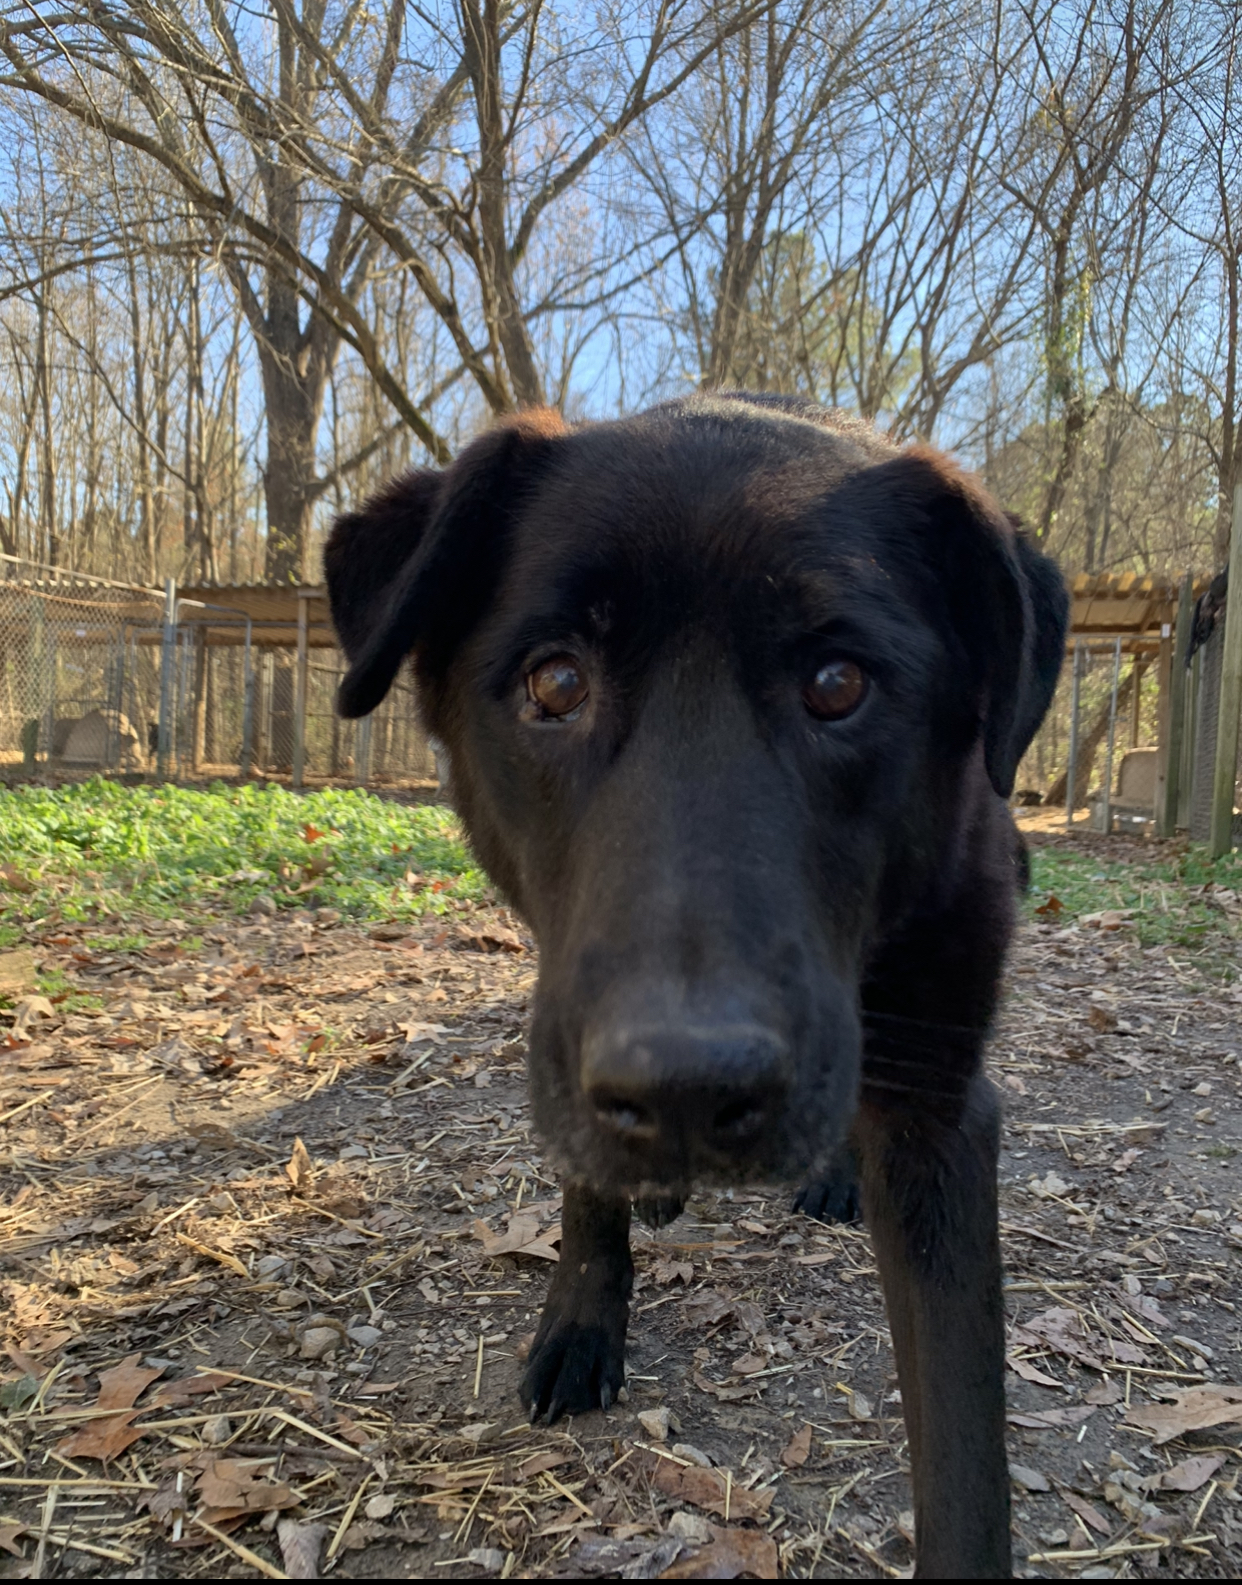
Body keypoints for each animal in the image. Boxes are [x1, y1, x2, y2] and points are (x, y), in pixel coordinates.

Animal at [324, 393, 1064, 1572]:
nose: (683, 1088)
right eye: (555, 681)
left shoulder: (941, 1120)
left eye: (840, 685)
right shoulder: (569, 1010)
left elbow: (962, 1449)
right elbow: (583, 1175)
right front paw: (583, 1313)